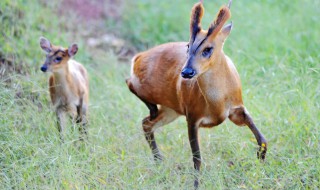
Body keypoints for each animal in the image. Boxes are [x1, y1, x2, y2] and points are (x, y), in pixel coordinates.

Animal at [126, 0, 266, 187]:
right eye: (188, 46)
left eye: (208, 49)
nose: (186, 72)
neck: (217, 103)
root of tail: (139, 57)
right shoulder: (192, 117)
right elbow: (197, 158)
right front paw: (196, 184)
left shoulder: (237, 109)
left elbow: (262, 139)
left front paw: (260, 164)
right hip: (153, 93)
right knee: (130, 84)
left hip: (171, 110)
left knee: (146, 123)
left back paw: (159, 162)